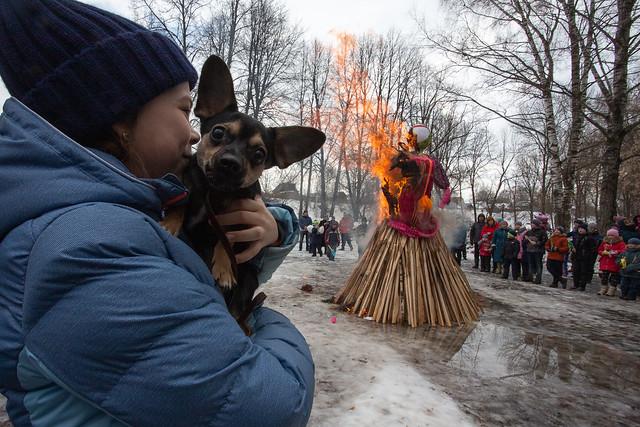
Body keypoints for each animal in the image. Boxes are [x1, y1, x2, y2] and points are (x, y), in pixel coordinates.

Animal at [164, 55, 324, 334]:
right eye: (218, 133)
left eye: (259, 154)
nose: (230, 163)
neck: (214, 191)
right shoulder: (188, 183)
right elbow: (180, 201)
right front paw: (168, 224)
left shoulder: (240, 213)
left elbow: (226, 234)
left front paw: (225, 268)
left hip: (249, 278)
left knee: (238, 312)